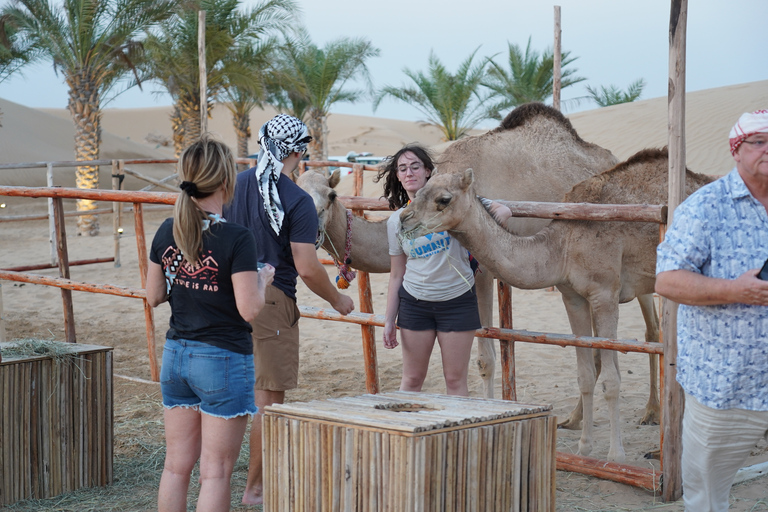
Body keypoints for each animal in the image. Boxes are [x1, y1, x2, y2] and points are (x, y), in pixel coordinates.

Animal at [400, 147, 712, 460]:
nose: (404, 218)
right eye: (419, 192)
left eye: (444, 199)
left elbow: (612, 381)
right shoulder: (572, 296)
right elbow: (585, 374)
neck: (564, 245)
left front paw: (615, 456)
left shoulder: (605, 294)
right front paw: (584, 448)